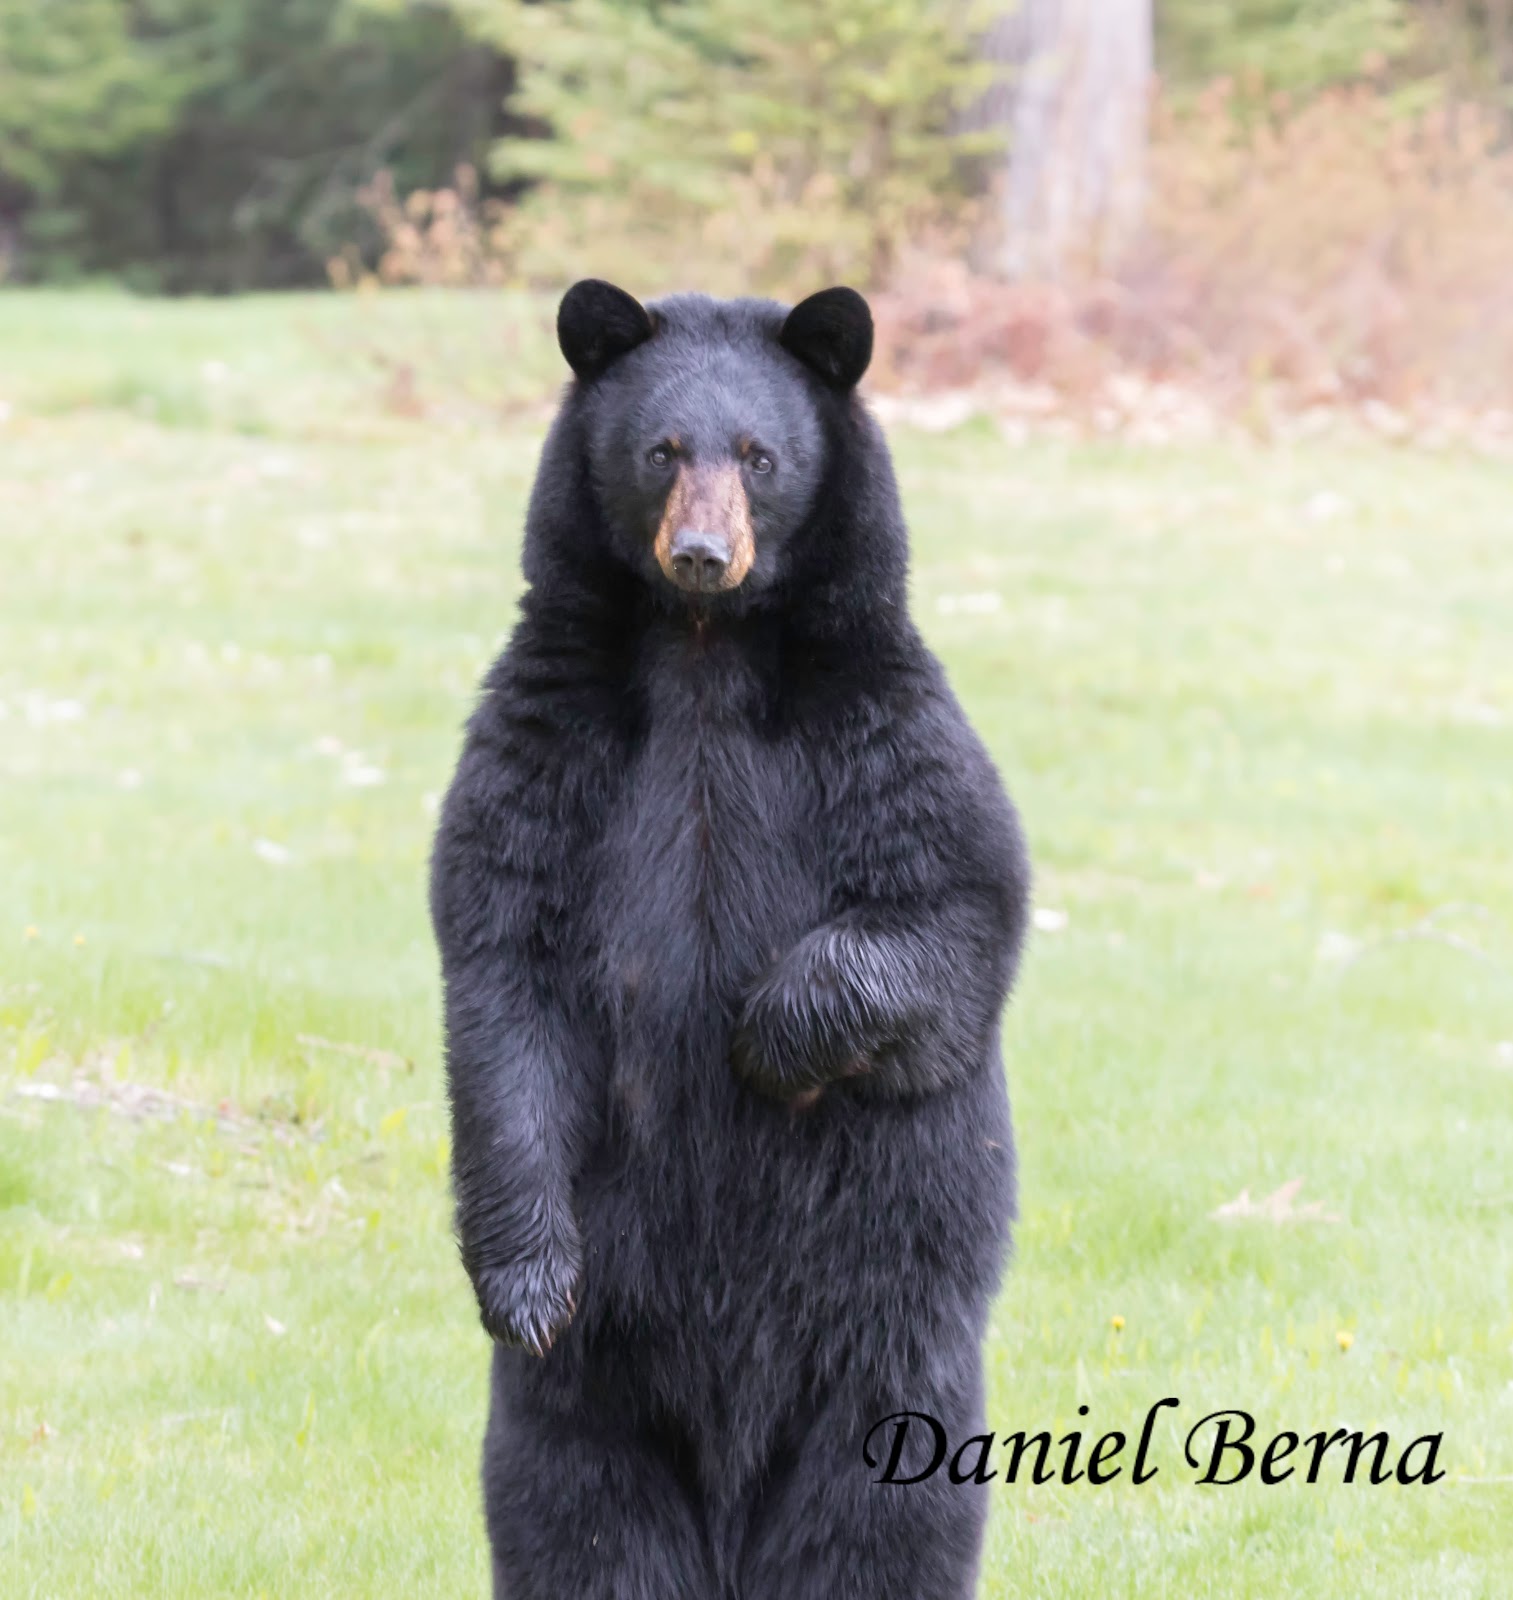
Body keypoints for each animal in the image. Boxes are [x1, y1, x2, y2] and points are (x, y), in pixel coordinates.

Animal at [429, 279, 1031, 1600]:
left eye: (759, 454)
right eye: (662, 450)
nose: (702, 555)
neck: (704, 648)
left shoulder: (876, 716)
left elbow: (955, 905)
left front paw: (767, 1035)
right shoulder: (548, 740)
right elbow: (503, 966)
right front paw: (525, 1280)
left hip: (887, 1328)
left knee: (879, 1515)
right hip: (601, 1375)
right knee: (576, 1504)